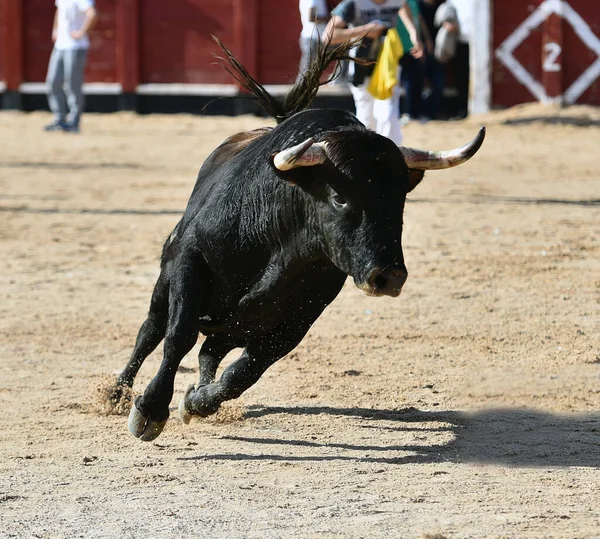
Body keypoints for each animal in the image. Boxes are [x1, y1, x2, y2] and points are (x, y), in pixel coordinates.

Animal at [111, 40, 488, 440]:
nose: (389, 276)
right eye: (340, 197)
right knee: (150, 332)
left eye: (400, 198)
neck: (279, 248)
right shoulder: (190, 262)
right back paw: (117, 394)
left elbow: (244, 372)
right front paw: (150, 411)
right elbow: (177, 336)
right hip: (164, 285)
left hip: (234, 326)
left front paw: (196, 402)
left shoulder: (299, 319)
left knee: (210, 350)